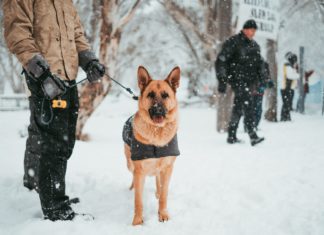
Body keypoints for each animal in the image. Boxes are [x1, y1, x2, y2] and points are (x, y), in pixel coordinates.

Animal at [123, 65, 181, 225]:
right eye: (150, 95)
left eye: (165, 95)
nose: (158, 109)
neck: (157, 132)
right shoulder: (139, 170)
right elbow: (138, 200)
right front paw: (137, 221)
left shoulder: (168, 168)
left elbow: (164, 195)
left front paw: (163, 214)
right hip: (130, 164)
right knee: (133, 177)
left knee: (157, 179)